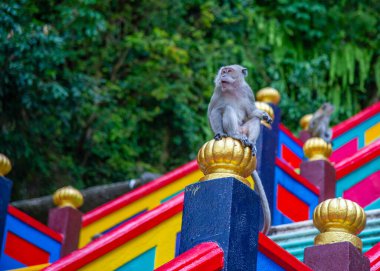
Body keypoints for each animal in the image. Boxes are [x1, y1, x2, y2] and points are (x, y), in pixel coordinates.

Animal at [208, 65, 274, 235]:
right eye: (223, 70)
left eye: (229, 70)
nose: (223, 75)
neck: (233, 89)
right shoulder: (218, 91)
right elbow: (214, 111)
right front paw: (219, 133)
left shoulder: (247, 91)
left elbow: (251, 112)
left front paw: (264, 115)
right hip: (235, 128)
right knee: (227, 109)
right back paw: (234, 135)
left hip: (245, 129)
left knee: (253, 120)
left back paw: (251, 142)